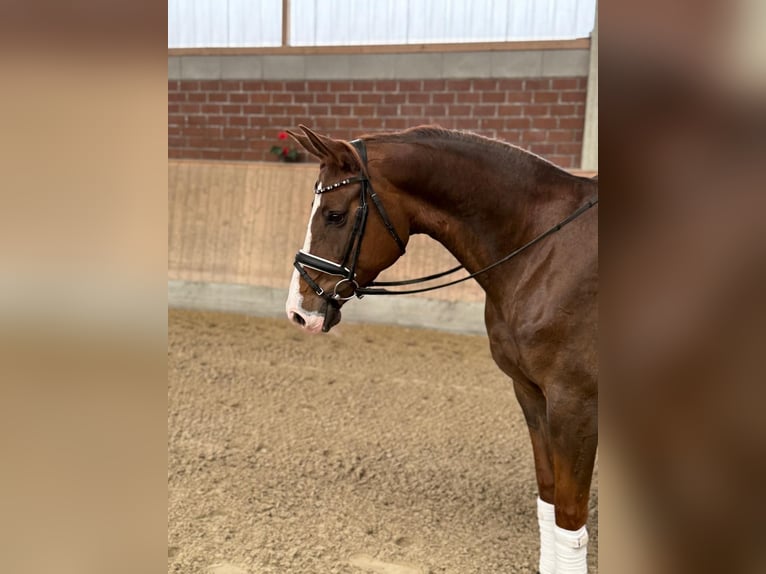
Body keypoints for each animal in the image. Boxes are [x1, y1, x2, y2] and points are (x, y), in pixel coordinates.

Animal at [284, 125, 598, 574]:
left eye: (335, 215)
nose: (298, 311)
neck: (543, 251)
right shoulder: (532, 395)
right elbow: (549, 502)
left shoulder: (575, 404)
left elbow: (570, 521)